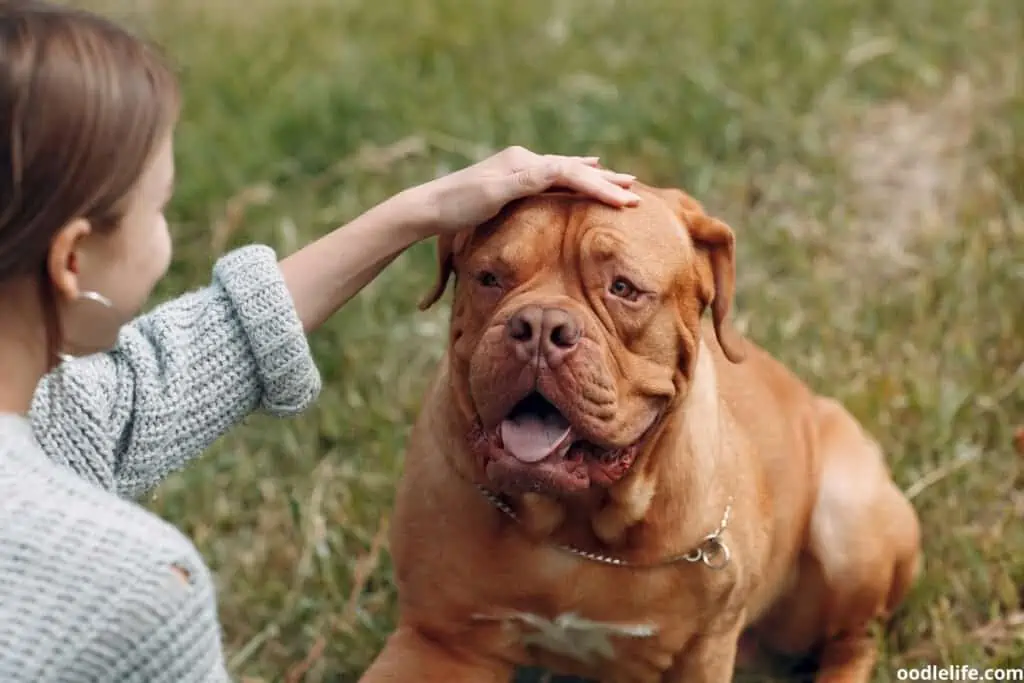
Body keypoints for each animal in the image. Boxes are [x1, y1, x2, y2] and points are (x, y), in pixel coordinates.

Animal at [362, 183, 929, 683]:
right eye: (489, 278)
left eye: (623, 289)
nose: (540, 327)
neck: (574, 531)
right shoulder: (441, 641)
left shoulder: (700, 653)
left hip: (847, 519)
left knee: (855, 639)